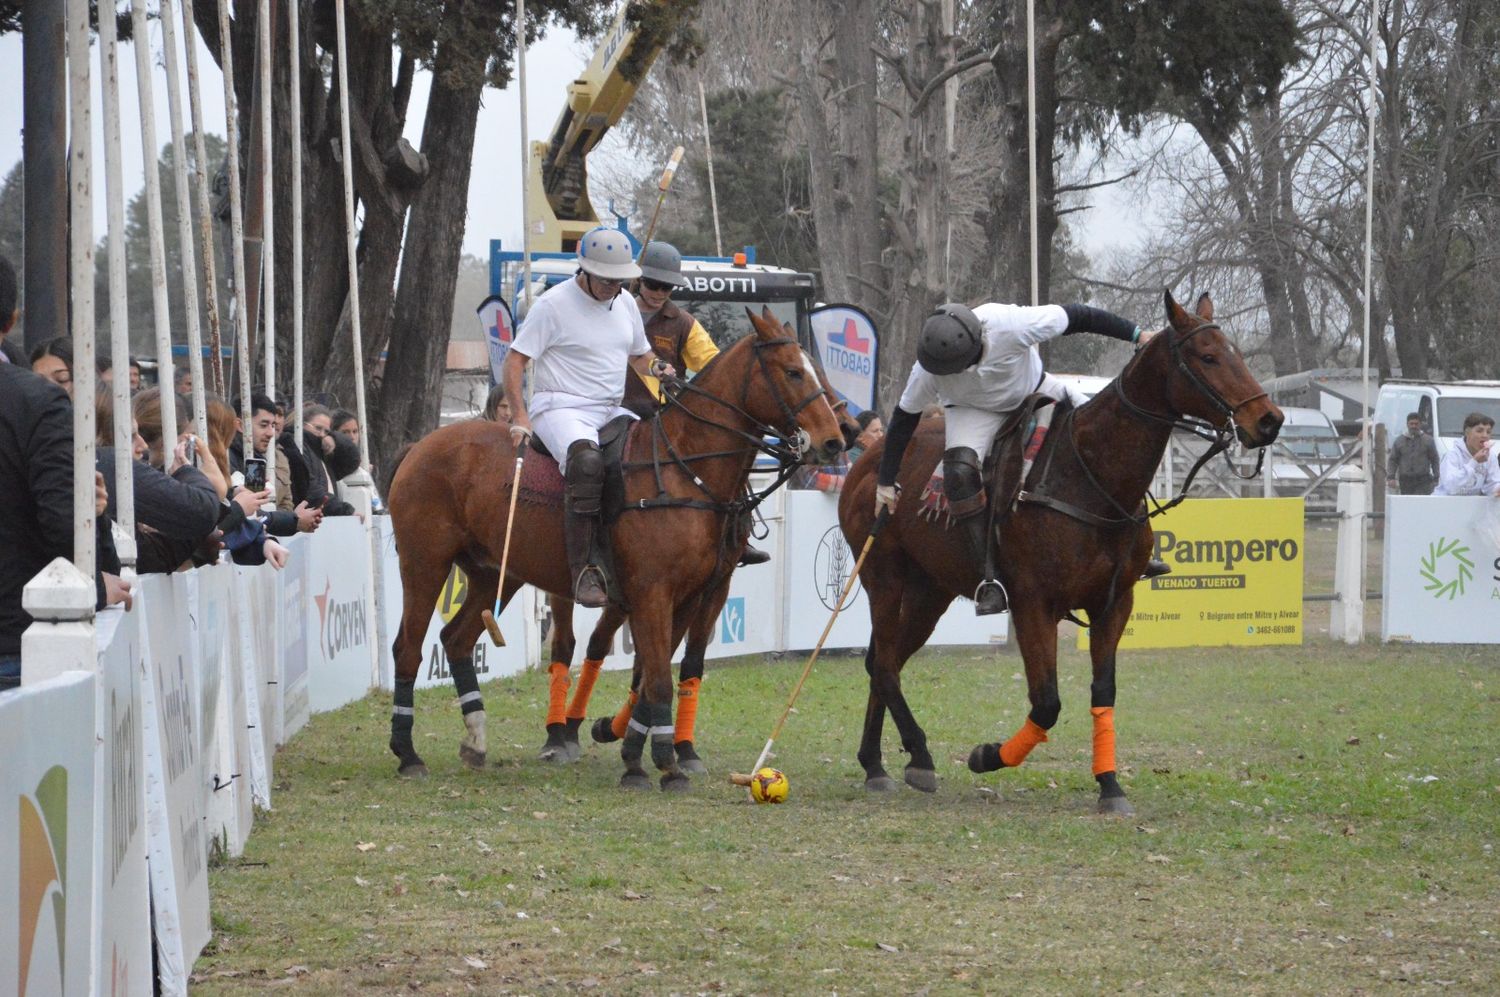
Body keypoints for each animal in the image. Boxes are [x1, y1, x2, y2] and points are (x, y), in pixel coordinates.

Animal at [387, 307, 846, 791]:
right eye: (793, 371)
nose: (835, 440)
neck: (686, 469)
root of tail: (418, 446)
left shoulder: (693, 593)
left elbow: (661, 672)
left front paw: (637, 753)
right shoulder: (652, 592)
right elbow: (656, 677)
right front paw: (661, 764)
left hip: (495, 572)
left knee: (455, 640)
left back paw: (475, 741)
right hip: (424, 561)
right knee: (409, 647)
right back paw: (409, 753)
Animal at [840, 292, 1284, 815]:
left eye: (1234, 351)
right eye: (1207, 356)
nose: (1269, 420)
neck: (1092, 477)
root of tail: (871, 460)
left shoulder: (1114, 603)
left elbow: (1103, 692)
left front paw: (1110, 786)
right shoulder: (1034, 603)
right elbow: (1047, 701)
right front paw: (987, 756)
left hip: (932, 590)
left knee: (882, 659)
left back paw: (875, 763)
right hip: (884, 577)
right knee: (886, 662)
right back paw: (918, 755)